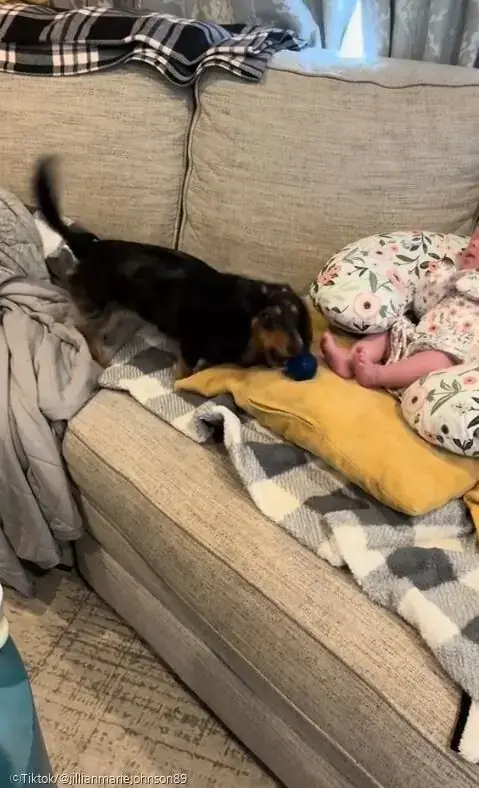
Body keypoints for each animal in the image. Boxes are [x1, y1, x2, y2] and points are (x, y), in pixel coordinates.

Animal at [34, 157, 312, 377]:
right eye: (270, 318)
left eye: (295, 316)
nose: (297, 348)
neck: (244, 316)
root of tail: (90, 247)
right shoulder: (191, 343)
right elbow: (185, 373)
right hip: (98, 309)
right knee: (83, 330)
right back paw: (99, 357)